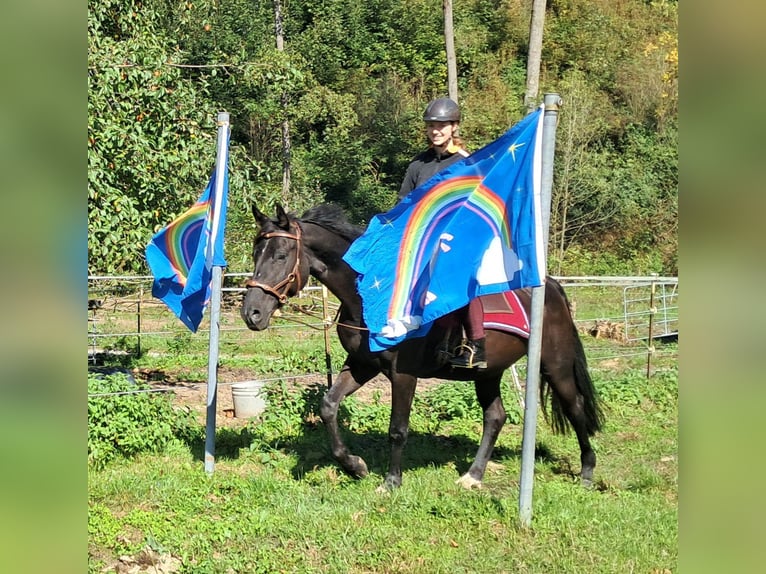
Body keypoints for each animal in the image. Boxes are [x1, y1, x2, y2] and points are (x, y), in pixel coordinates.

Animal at [242, 205, 608, 492]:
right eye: (255, 254)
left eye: (280, 255)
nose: (251, 313)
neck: (373, 298)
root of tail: (552, 287)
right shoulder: (362, 365)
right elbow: (328, 406)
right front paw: (355, 466)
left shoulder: (403, 374)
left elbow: (397, 430)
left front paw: (391, 482)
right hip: (488, 372)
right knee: (495, 417)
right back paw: (473, 476)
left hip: (555, 365)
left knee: (575, 407)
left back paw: (587, 472)